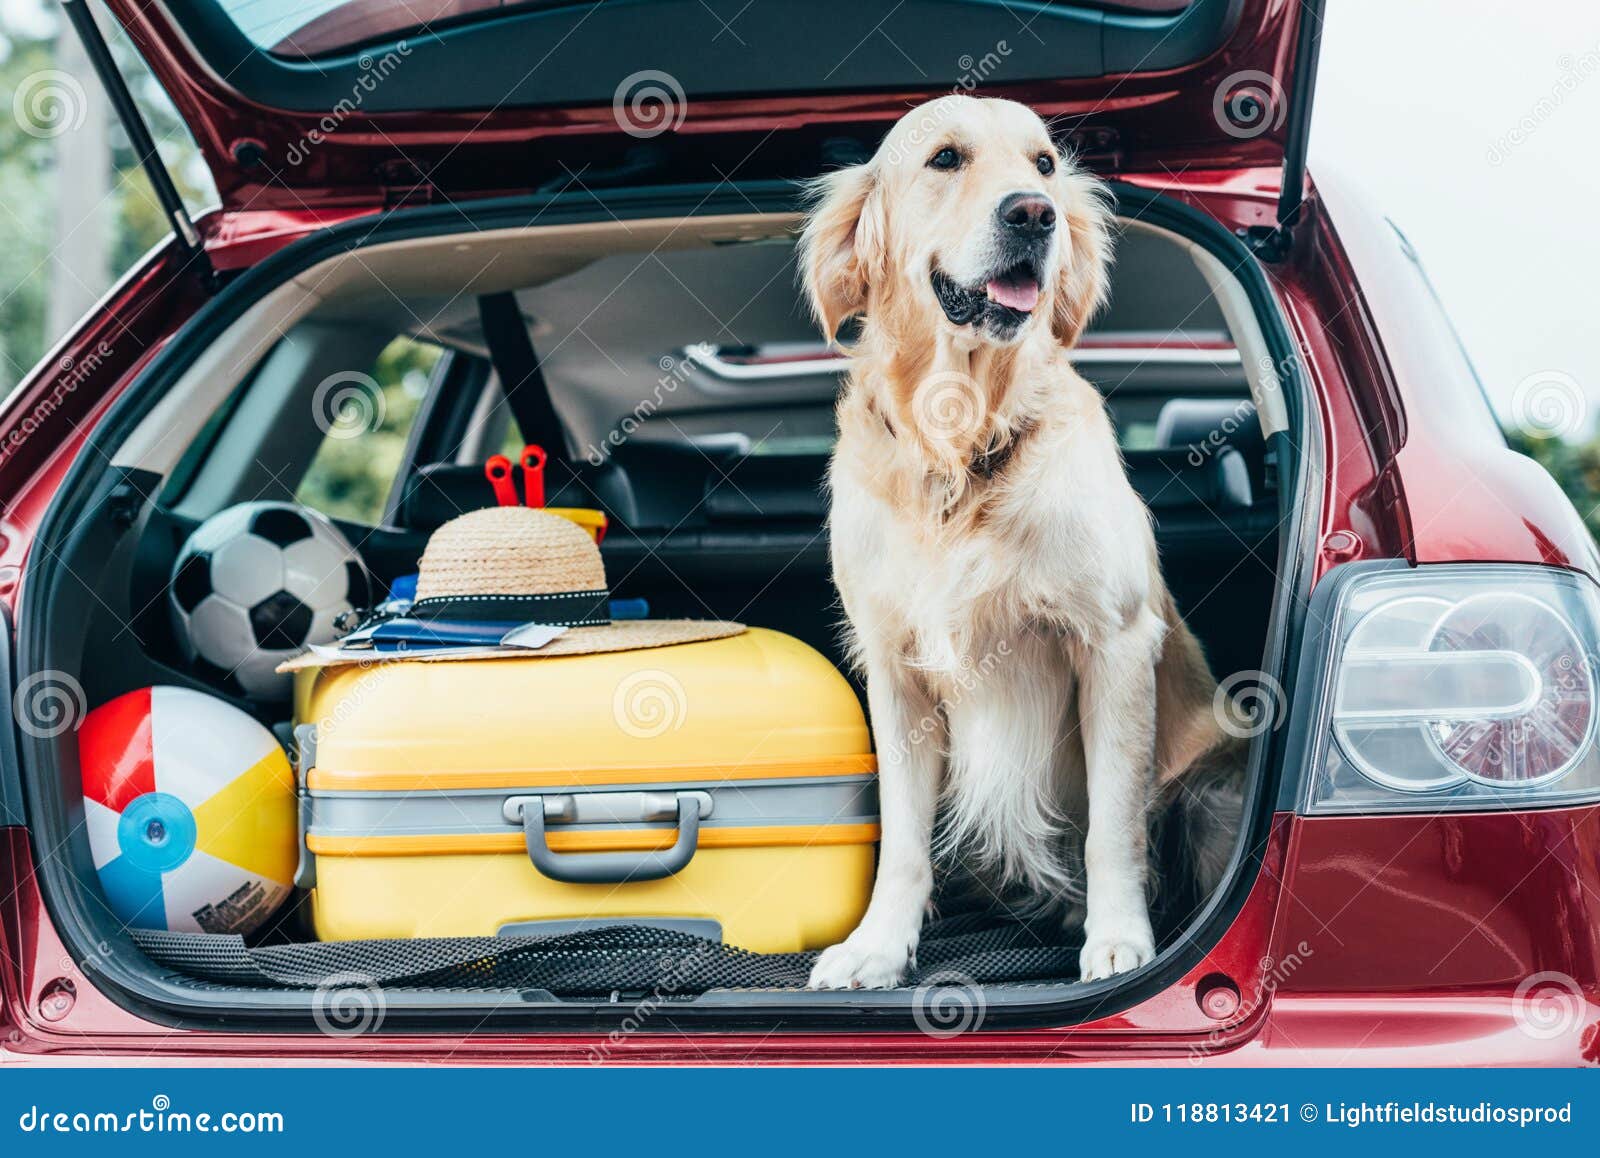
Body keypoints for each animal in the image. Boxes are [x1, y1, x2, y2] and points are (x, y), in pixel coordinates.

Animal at [806, 95, 1241, 991]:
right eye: (945, 158)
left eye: (1043, 163)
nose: (1034, 215)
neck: (961, 438)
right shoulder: (895, 669)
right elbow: (902, 839)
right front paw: (877, 946)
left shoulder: (1112, 643)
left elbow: (1114, 825)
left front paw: (1119, 939)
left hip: (1213, 785)